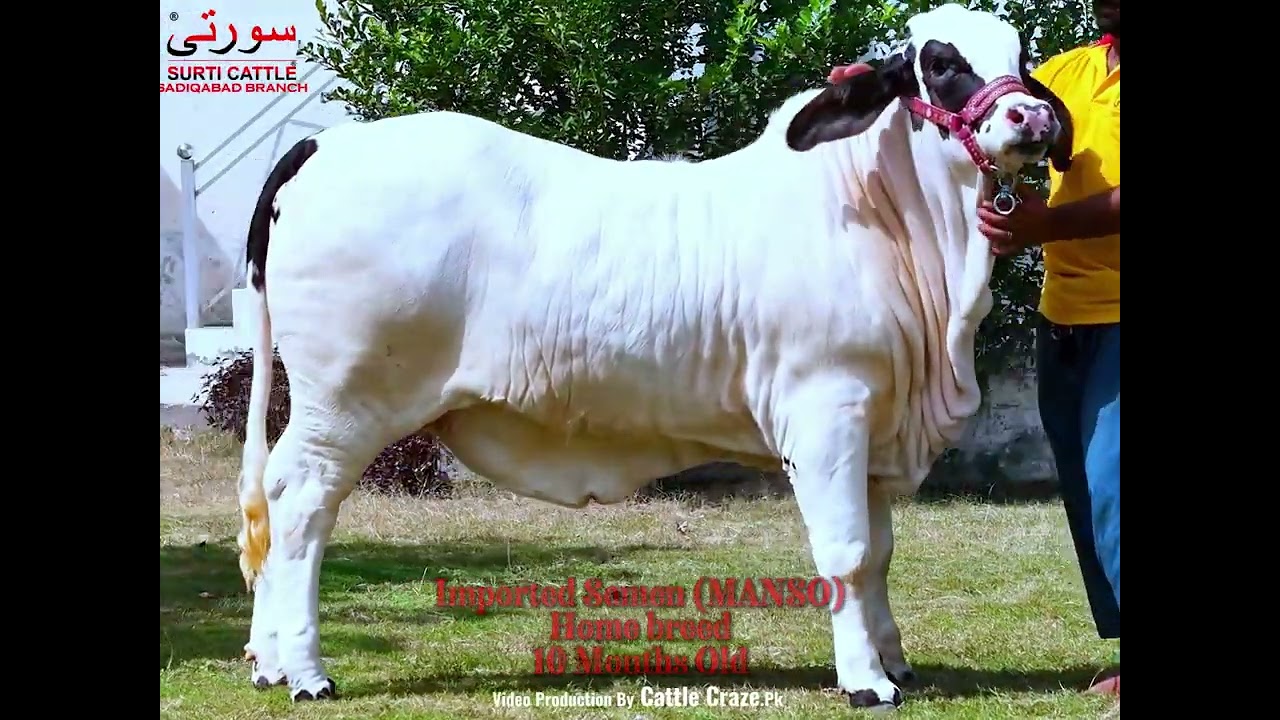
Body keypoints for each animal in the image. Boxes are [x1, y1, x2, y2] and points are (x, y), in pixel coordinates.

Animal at [232, 3, 1071, 710]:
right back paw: (306, 671)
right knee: (301, 505)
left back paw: (269, 662)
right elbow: (846, 552)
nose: (1029, 114)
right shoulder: (825, 410)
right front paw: (866, 680)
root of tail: (321, 143)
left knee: (272, 501)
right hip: (345, 404)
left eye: (1022, 58)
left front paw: (893, 659)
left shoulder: (874, 425)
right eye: (940, 60)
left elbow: (881, 556)